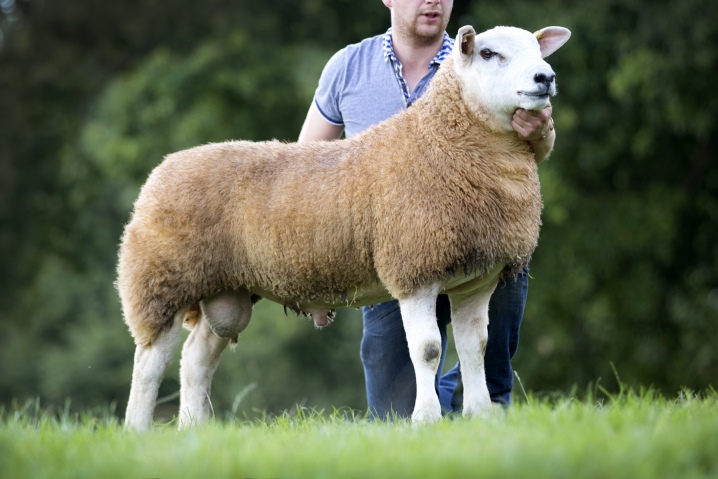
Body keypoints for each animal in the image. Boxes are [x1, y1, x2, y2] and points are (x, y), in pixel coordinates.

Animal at [119, 24, 572, 434]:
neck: (441, 143)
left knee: (195, 360)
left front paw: (479, 416)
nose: (545, 77)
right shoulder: (414, 268)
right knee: (148, 363)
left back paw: (193, 431)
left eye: (537, 49)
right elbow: (427, 350)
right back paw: (137, 432)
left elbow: (475, 348)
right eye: (489, 53)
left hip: (225, 287)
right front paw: (425, 419)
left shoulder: (476, 280)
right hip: (161, 280)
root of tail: (164, 168)